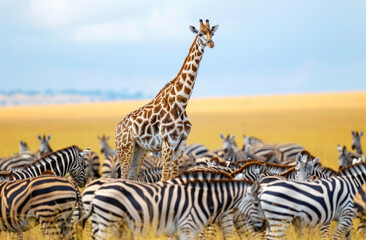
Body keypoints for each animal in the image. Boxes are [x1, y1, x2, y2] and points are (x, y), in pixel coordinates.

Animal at [115, 19, 217, 180]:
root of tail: (117, 129)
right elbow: (164, 178)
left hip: (140, 149)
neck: (181, 102)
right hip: (125, 148)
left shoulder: (181, 143)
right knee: (122, 177)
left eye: (212, 33)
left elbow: (173, 176)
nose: (211, 43)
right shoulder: (168, 143)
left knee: (131, 177)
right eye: (200, 33)